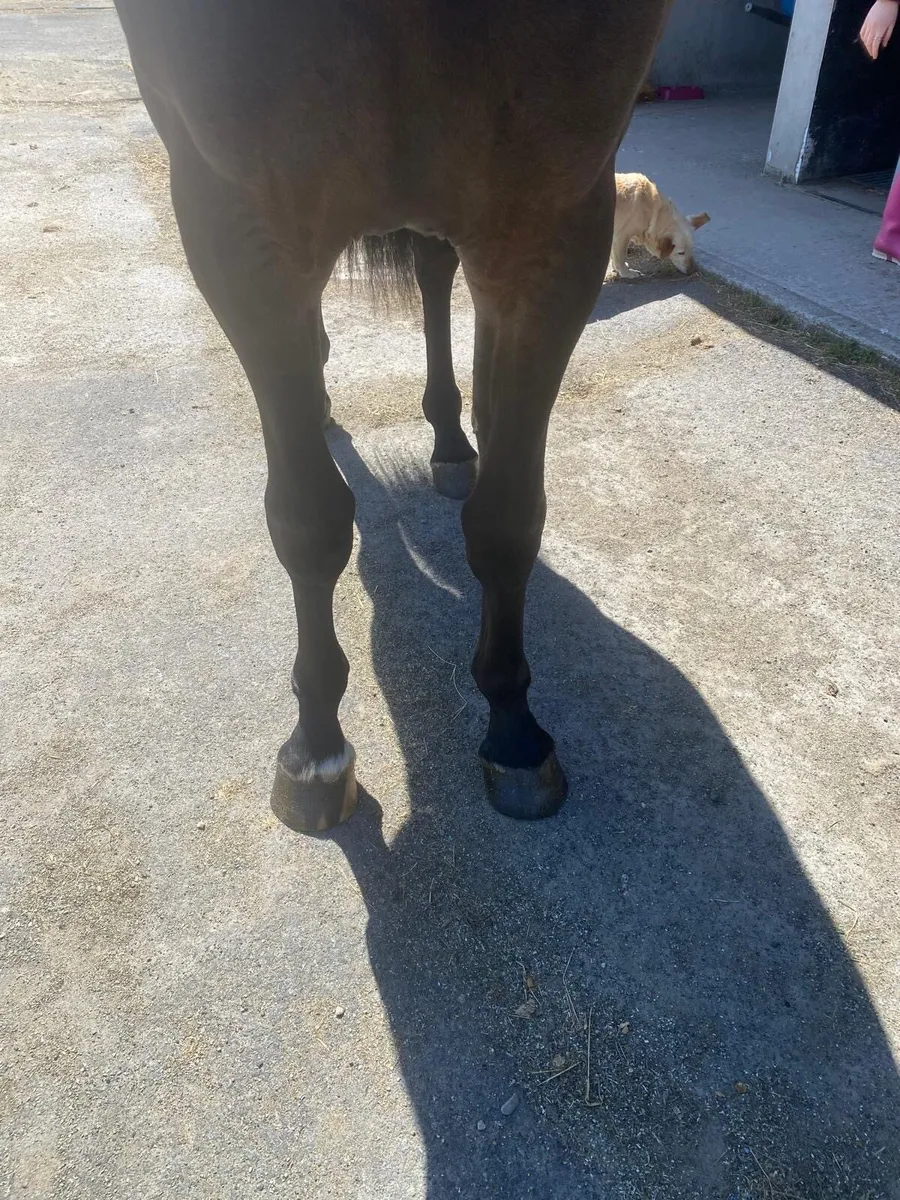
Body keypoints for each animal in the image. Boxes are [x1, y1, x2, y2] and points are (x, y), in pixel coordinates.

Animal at [112, 0, 673, 830]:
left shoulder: (556, 224)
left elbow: (508, 520)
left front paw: (513, 729)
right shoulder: (235, 227)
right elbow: (307, 520)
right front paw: (316, 748)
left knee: (434, 268)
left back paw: (450, 440)